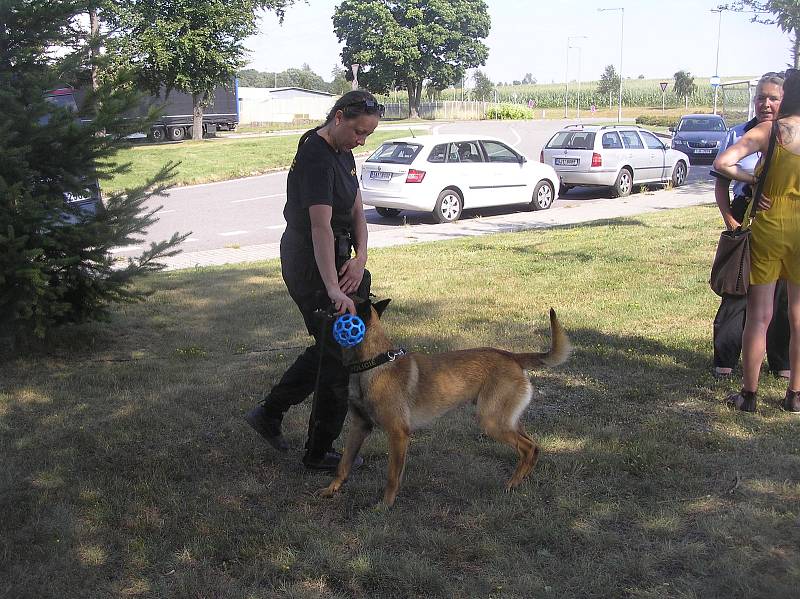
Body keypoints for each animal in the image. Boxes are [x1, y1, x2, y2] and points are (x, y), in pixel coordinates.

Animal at [318, 298, 568, 506]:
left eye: (342, 302)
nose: (323, 302)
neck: (372, 363)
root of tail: (512, 356)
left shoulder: (398, 434)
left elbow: (392, 476)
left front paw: (385, 505)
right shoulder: (359, 427)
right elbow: (343, 465)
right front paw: (331, 490)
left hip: (492, 423)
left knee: (527, 448)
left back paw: (512, 484)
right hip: (506, 420)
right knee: (534, 447)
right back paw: (522, 481)